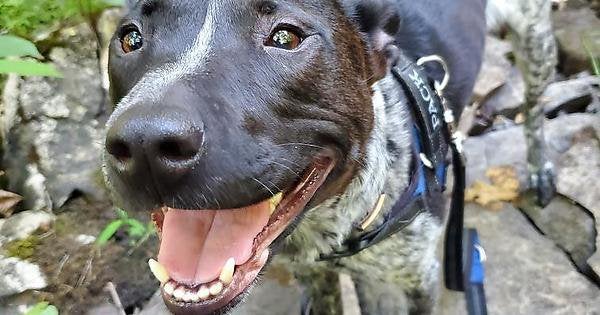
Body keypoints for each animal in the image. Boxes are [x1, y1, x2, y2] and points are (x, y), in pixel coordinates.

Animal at [104, 1, 556, 314]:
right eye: (130, 38)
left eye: (286, 37)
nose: (145, 144)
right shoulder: (318, 275)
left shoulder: (419, 281)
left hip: (537, 43)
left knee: (535, 111)